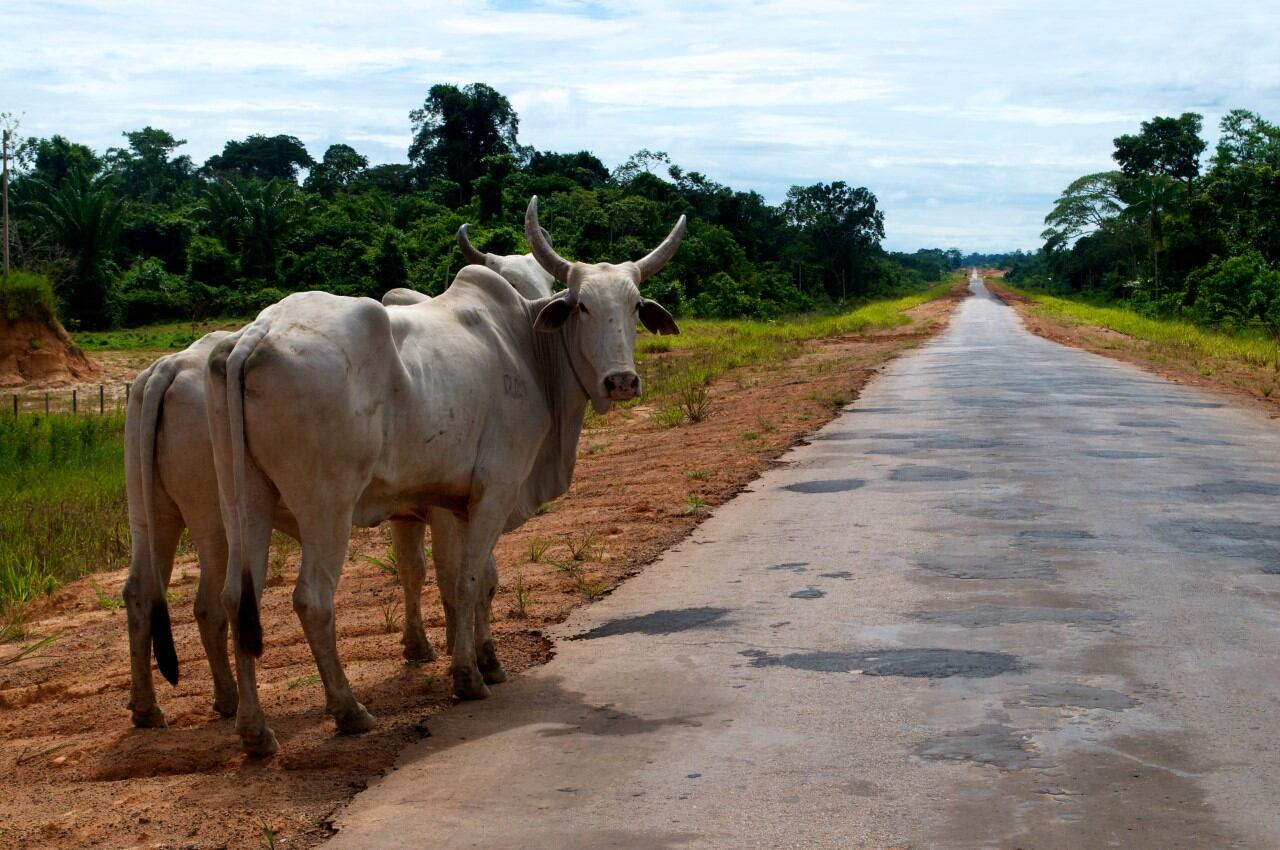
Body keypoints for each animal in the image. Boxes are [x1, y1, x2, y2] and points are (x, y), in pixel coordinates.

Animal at [207, 195, 691, 752]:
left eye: (634, 306)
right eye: (582, 305)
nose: (621, 381)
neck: (528, 350)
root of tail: (258, 331)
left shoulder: (457, 501)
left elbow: (481, 581)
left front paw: (489, 659)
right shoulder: (497, 488)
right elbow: (467, 580)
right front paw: (468, 677)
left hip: (243, 501)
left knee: (235, 599)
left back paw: (255, 730)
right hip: (326, 506)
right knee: (313, 599)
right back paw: (349, 711)